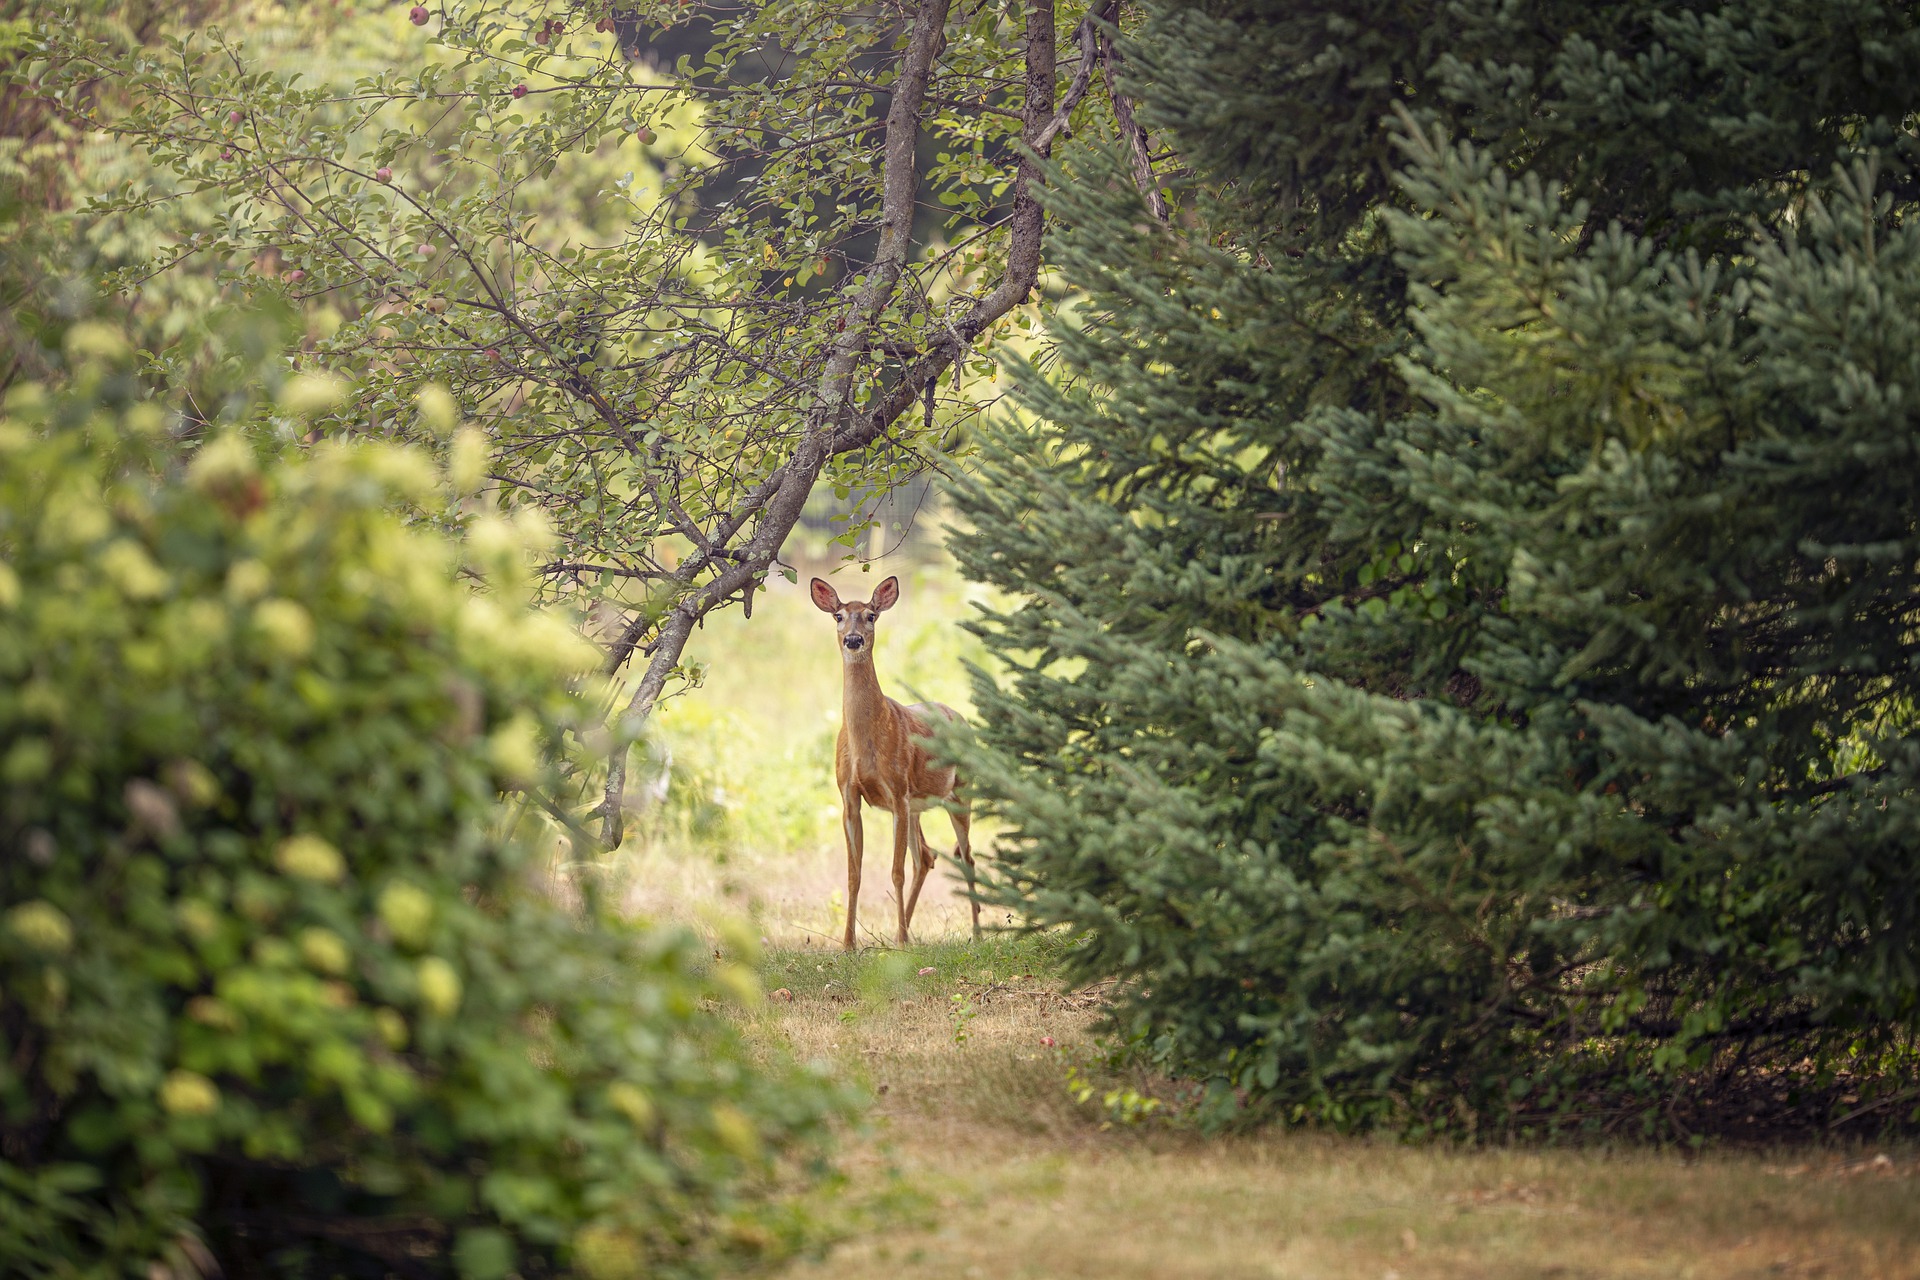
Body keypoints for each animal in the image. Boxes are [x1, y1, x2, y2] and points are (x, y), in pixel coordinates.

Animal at [814, 575, 983, 948]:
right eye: (838, 615)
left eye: (871, 615)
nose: (853, 640)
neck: (867, 741)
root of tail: (961, 719)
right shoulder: (849, 795)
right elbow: (854, 873)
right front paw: (848, 944)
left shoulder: (897, 790)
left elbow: (895, 871)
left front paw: (901, 942)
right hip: (919, 805)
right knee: (927, 856)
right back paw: (901, 930)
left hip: (960, 792)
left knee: (965, 857)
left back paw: (975, 934)